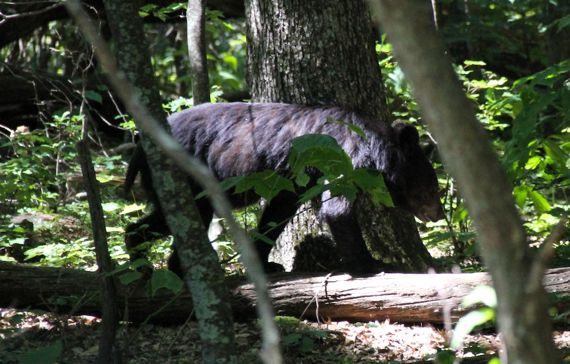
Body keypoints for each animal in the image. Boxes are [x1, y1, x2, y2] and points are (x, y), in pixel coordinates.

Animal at [125, 101, 444, 272]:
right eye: (433, 187)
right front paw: (372, 264)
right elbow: (337, 210)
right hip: (183, 176)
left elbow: (277, 214)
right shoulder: (344, 159)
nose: (438, 213)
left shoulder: (292, 181)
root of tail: (138, 145)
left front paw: (265, 263)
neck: (374, 146)